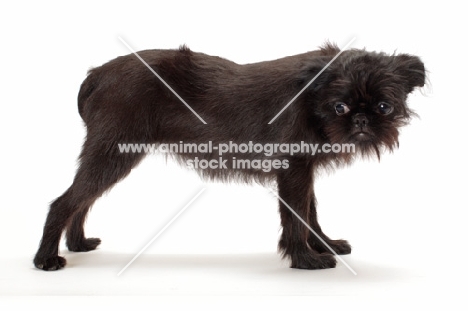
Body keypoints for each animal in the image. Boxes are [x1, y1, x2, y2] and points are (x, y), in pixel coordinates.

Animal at [34, 43, 426, 270]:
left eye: (384, 106)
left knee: (82, 199)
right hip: (113, 152)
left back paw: (78, 244)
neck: (312, 96)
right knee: (65, 201)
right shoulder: (294, 170)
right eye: (339, 107)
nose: (361, 119)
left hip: (109, 154)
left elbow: (311, 212)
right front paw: (305, 259)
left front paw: (323, 244)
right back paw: (46, 259)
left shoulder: (303, 171)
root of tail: (96, 75)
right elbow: (298, 216)